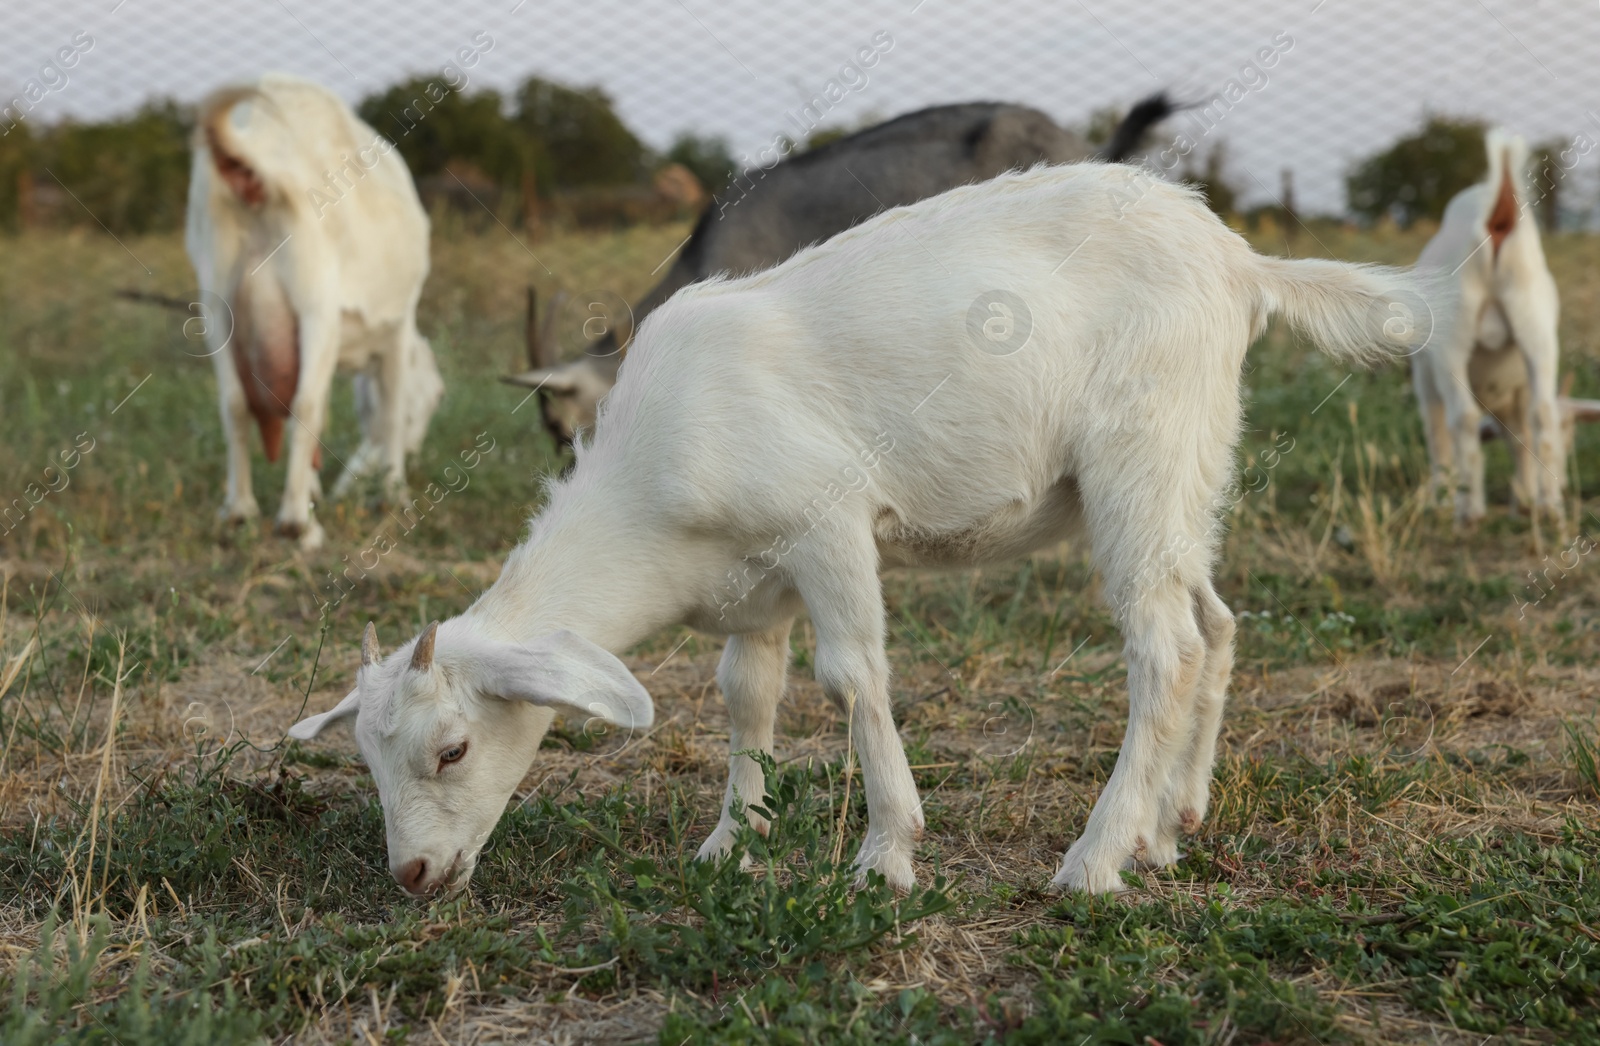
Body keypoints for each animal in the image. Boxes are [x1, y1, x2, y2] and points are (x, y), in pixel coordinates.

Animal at [190, 73, 448, 553]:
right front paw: (393, 493)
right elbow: (389, 407)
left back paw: (239, 511)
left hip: (216, 298)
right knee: (304, 402)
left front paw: (314, 489)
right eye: (437, 398)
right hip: (315, 297)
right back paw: (297, 524)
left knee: (234, 401)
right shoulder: (397, 328)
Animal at [288, 166, 1440, 902]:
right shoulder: (749, 588)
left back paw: (1095, 860)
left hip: (1140, 448)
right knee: (1214, 620)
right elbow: (745, 695)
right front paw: (732, 842)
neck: (651, 482)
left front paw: (887, 853)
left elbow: (850, 676)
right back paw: (1171, 826)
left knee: (1162, 646)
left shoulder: (827, 523)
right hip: (1190, 466)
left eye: (452, 747)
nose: (413, 875)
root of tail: (1241, 261)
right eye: (367, 757)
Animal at [1414, 130, 1561, 534]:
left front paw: (1441, 503)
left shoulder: (1425, 377)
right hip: (1536, 326)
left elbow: (1437, 434)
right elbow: (1522, 438)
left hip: (1452, 337)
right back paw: (1550, 509)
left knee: (1461, 418)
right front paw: (1525, 503)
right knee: (1543, 415)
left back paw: (1469, 511)